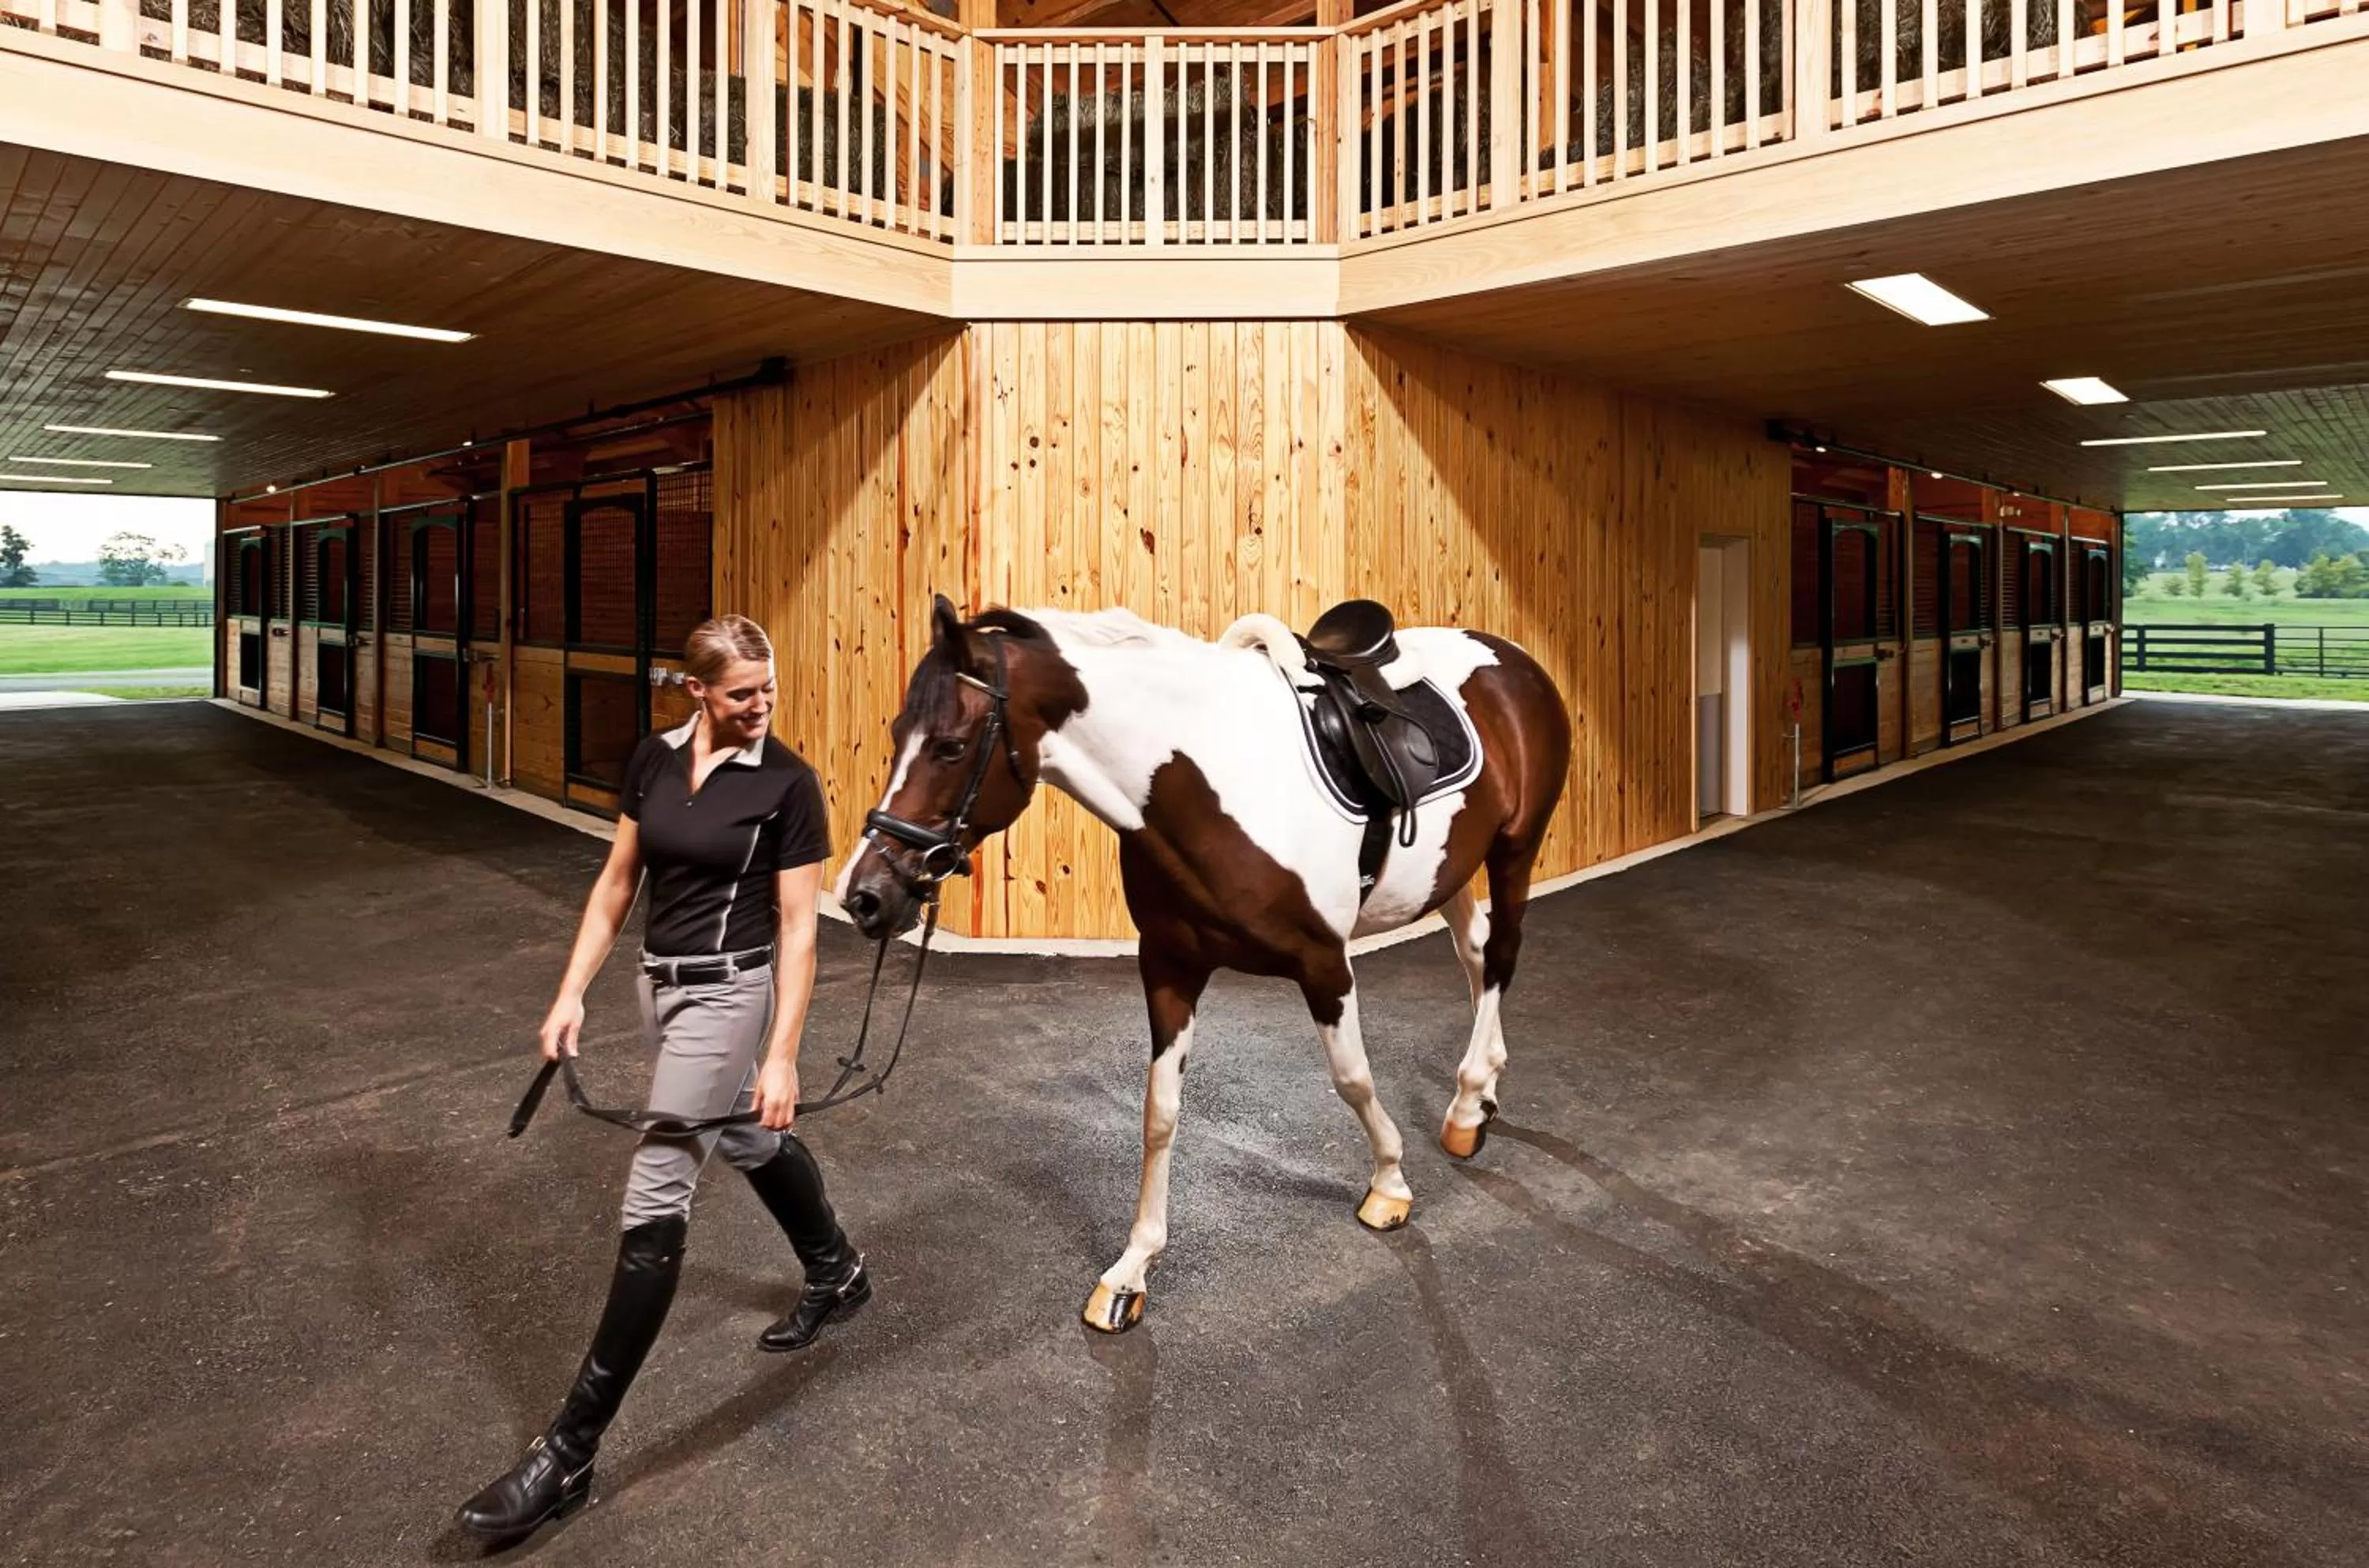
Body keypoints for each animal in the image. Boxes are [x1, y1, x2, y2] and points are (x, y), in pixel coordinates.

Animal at [836, 594, 1573, 1333]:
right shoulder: (1170, 966)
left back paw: (1466, 1111)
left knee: (1500, 955)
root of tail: (1512, 657)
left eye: (951, 746)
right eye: (897, 731)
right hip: (1448, 872)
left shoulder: (1324, 964)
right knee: (1474, 951)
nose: (865, 895)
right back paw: (1479, 1093)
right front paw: (1131, 1272)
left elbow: (1352, 1079)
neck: (1208, 784)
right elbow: (1159, 1113)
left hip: (1515, 848)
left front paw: (1389, 1183)